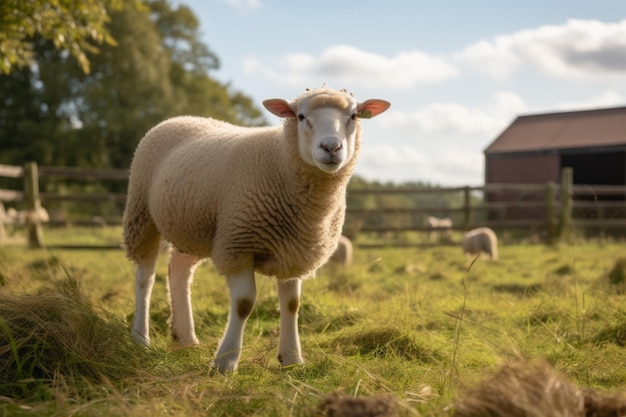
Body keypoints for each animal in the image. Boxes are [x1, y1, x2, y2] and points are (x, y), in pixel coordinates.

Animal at [122, 85, 388, 370]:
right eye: (301, 116)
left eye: (354, 116)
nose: (331, 147)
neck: (281, 162)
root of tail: (180, 117)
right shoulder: (239, 243)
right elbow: (243, 303)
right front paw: (225, 361)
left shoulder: (294, 248)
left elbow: (292, 304)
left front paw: (292, 358)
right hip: (142, 214)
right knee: (146, 277)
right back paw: (140, 338)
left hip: (195, 227)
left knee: (180, 272)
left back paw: (186, 338)